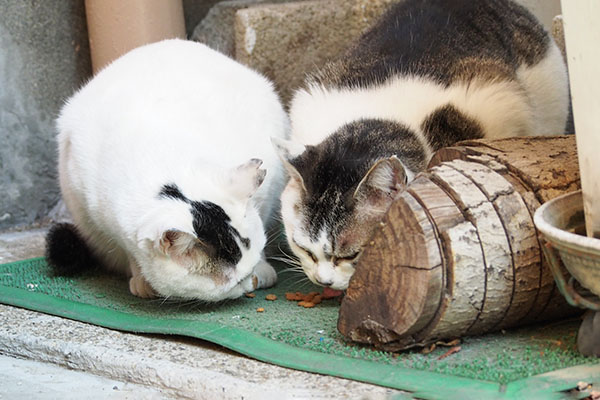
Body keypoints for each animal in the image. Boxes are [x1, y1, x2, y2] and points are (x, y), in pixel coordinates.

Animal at [45, 39, 288, 302]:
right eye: (236, 282)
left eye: (249, 271)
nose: (249, 284)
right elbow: (129, 250)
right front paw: (141, 279)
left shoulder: (268, 182)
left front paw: (262, 269)